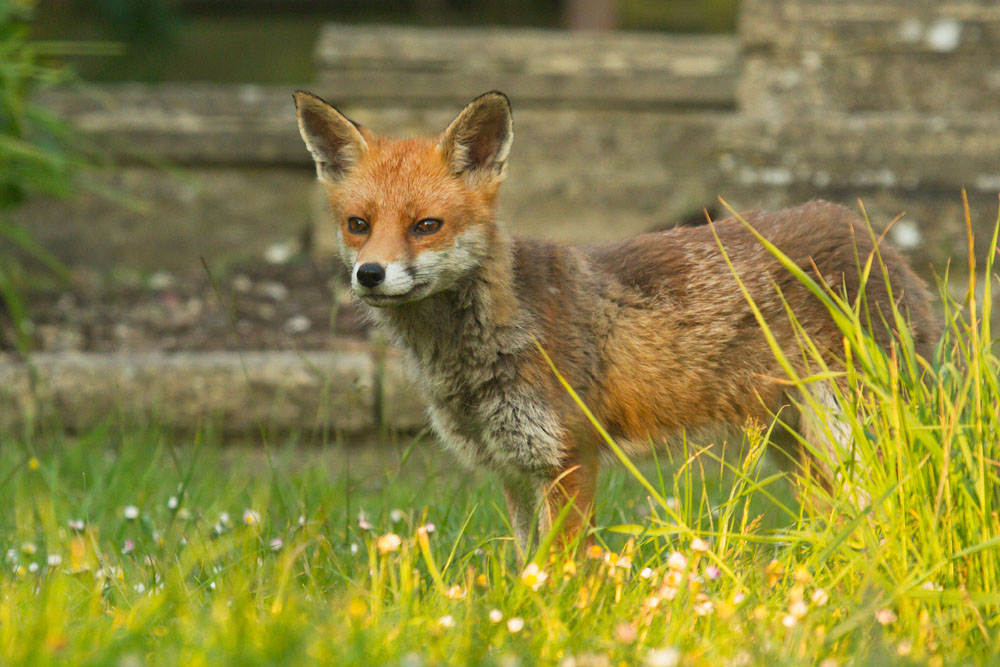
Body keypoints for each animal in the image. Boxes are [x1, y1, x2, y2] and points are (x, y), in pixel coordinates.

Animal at [293, 90, 939, 550]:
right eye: (358, 225)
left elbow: (557, 573)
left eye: (426, 225)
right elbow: (525, 565)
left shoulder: (569, 459)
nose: (370, 274)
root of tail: (870, 232)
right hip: (799, 446)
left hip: (854, 433)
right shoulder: (512, 469)